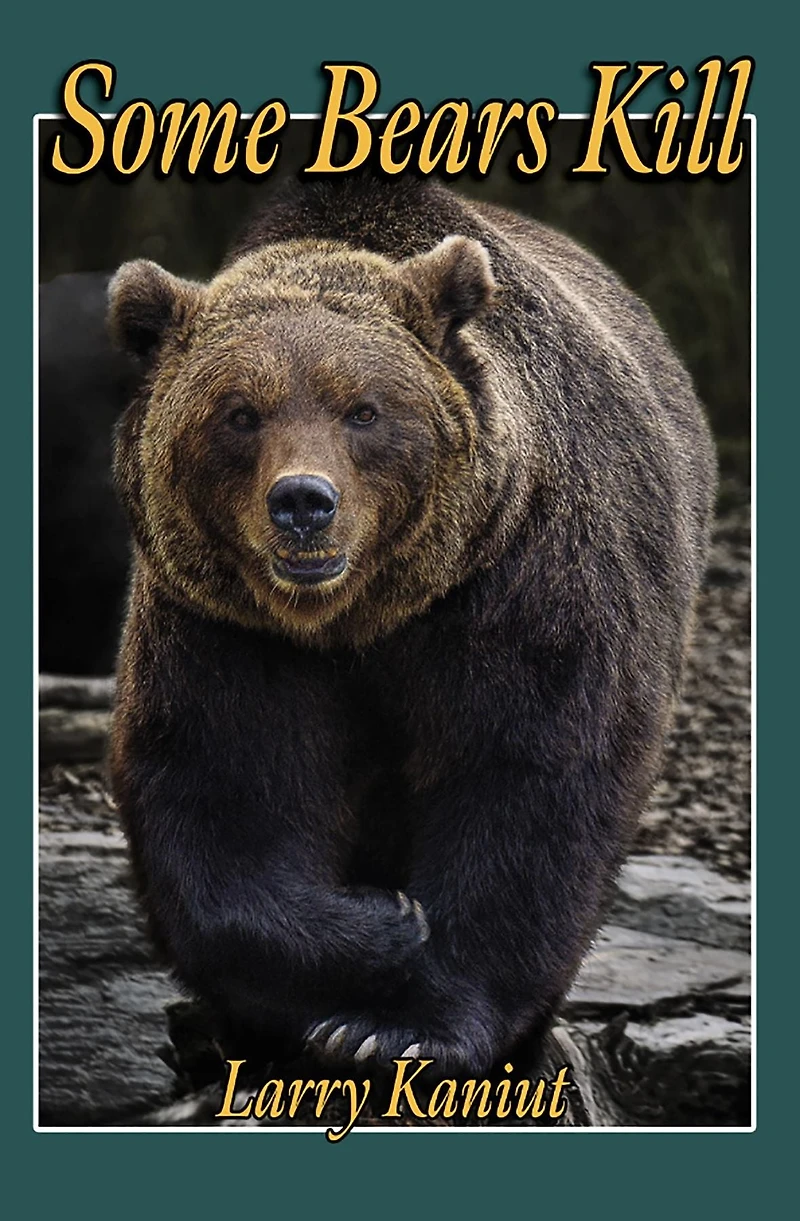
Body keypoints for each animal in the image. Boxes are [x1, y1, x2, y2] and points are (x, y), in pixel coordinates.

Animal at [107, 176, 716, 1076]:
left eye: (363, 410)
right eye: (239, 413)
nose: (303, 503)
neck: (362, 616)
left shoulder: (520, 587)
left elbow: (528, 776)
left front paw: (405, 1024)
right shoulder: (224, 625)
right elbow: (222, 788)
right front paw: (380, 930)